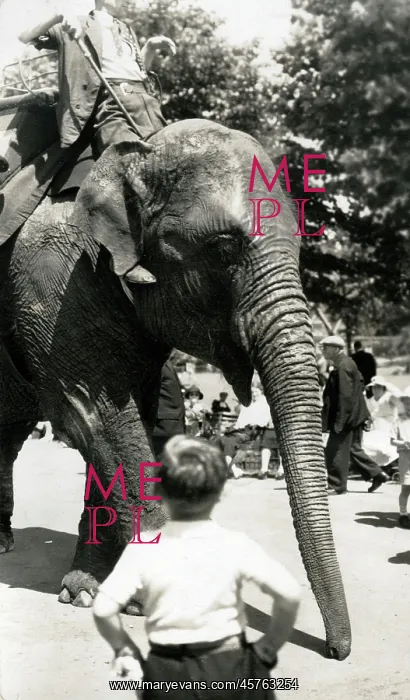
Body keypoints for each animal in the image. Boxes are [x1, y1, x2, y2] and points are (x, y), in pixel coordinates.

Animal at [0, 118, 351, 660]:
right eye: (224, 249)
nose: (337, 650)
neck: (133, 153)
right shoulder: (50, 288)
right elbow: (95, 417)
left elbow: (126, 419)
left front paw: (88, 591)